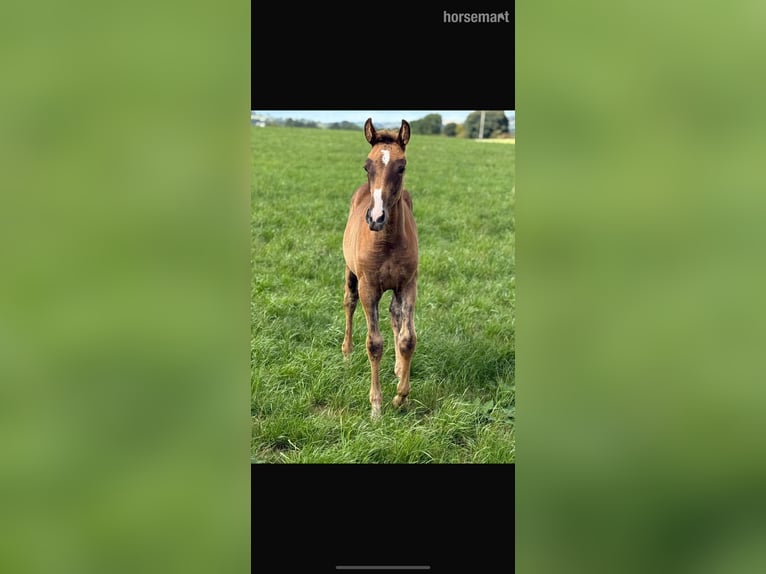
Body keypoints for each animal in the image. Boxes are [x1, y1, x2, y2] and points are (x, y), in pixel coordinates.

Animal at [342, 118, 419, 418]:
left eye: (402, 166)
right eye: (367, 166)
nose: (376, 218)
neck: (386, 241)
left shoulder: (408, 284)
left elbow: (407, 338)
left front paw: (401, 397)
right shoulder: (369, 287)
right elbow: (374, 344)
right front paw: (376, 406)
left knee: (396, 315)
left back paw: (398, 368)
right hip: (350, 272)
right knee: (348, 301)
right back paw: (347, 352)